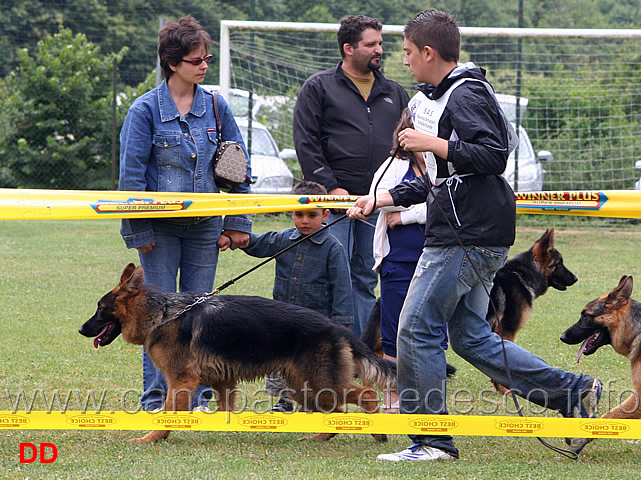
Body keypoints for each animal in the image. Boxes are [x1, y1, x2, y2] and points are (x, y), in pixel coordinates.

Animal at [79, 264, 396, 444]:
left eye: (100, 308)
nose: (81, 329)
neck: (165, 314)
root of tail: (339, 329)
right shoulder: (222, 381)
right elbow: (223, 410)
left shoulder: (181, 382)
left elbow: (169, 414)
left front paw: (152, 438)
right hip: (302, 388)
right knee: (339, 412)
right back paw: (320, 437)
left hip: (316, 385)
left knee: (366, 395)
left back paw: (376, 431)